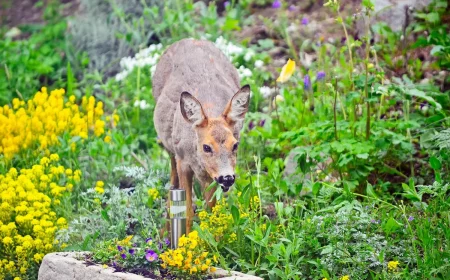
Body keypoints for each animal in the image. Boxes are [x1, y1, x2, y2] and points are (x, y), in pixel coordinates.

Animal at [151, 38, 250, 233]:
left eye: (235, 145)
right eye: (206, 146)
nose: (227, 178)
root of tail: (190, 39)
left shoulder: (211, 176)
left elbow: (212, 211)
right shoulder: (184, 162)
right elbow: (188, 210)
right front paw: (185, 238)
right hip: (170, 146)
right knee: (172, 175)